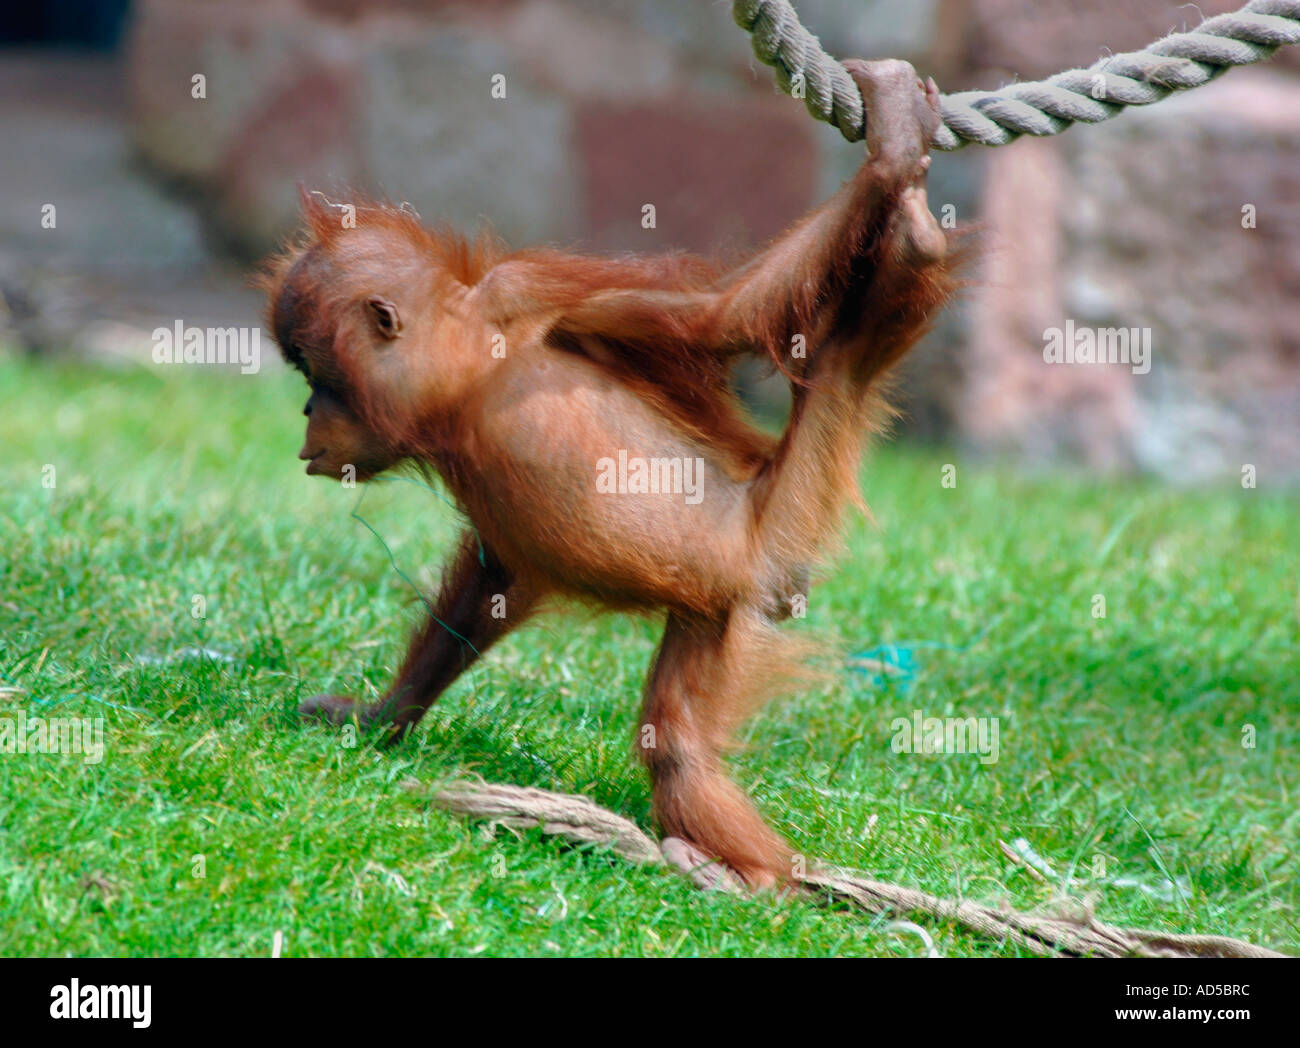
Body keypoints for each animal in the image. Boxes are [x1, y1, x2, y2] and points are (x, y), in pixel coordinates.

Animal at [262, 59, 956, 887]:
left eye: (316, 375)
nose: (305, 411)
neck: (468, 379)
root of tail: (765, 524)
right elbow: (490, 582)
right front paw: (381, 718)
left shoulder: (532, 295)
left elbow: (713, 318)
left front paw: (889, 163)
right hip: (716, 615)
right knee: (680, 734)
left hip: (774, 536)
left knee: (677, 747)